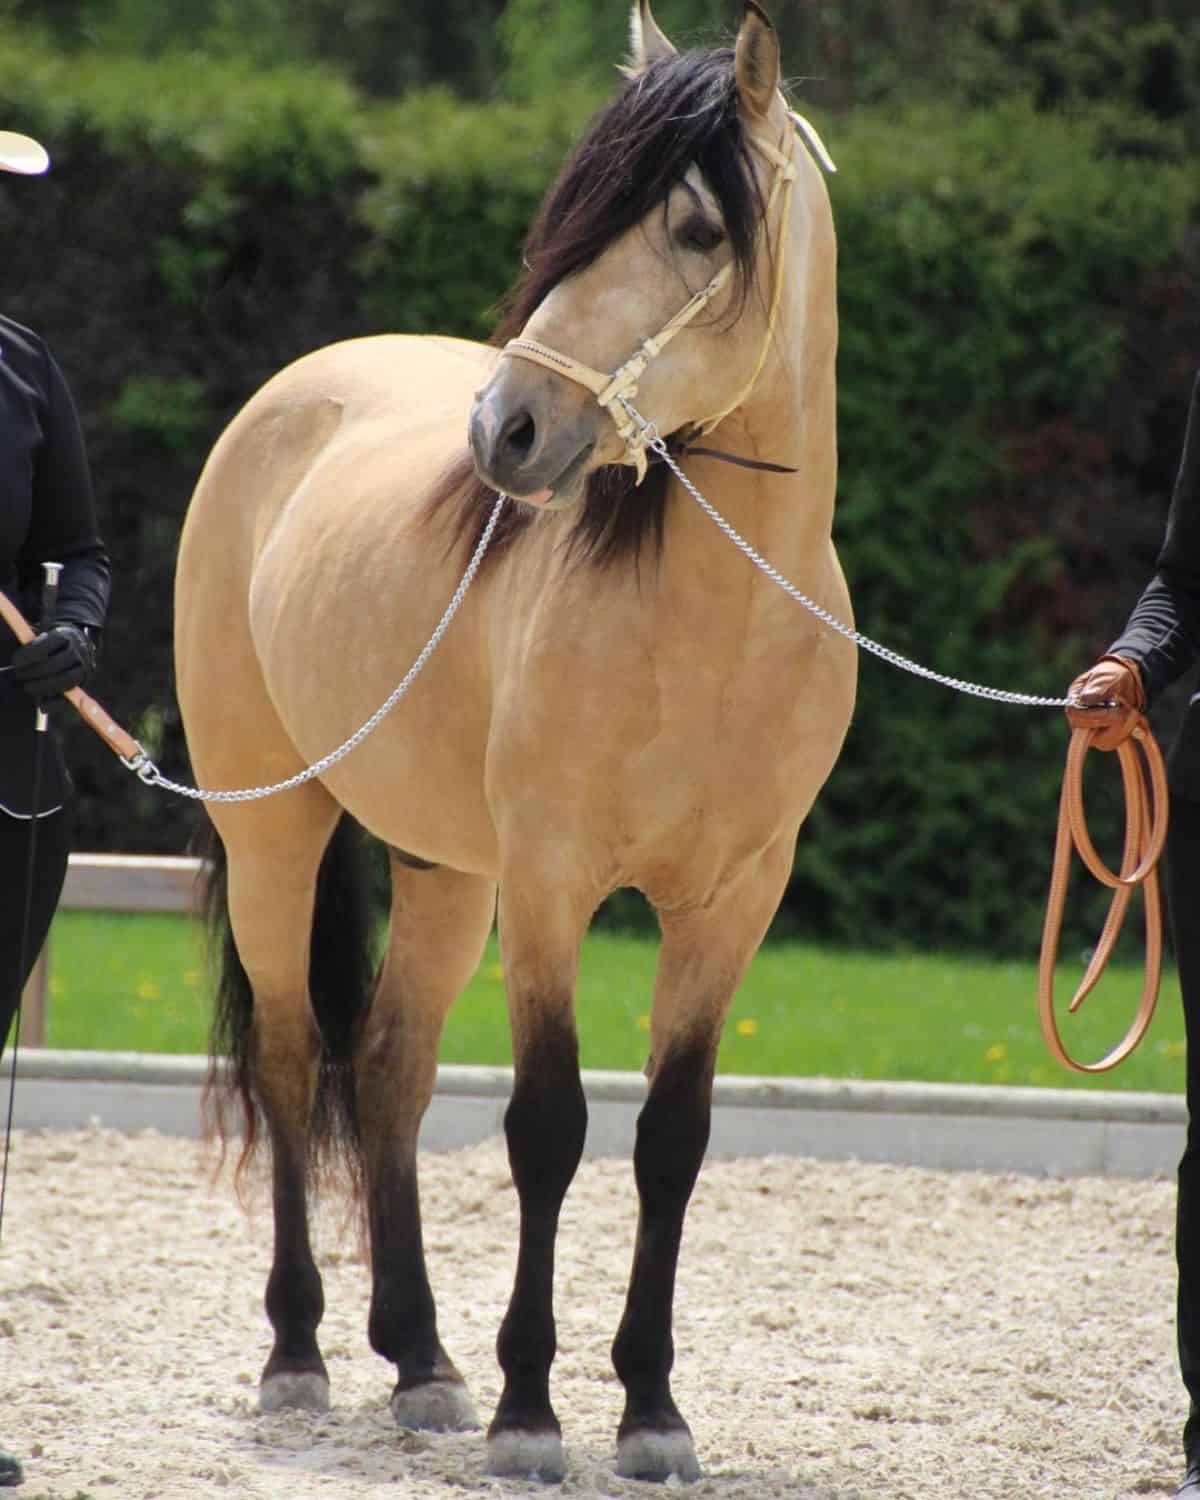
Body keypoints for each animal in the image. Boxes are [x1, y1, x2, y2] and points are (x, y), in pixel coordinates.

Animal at [173, 0, 858, 1476]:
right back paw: (302, 1355)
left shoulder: (732, 904)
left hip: (446, 874)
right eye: (572, 215)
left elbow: (671, 1138)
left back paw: (422, 1362)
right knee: (295, 1059)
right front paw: (531, 1413)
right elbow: (548, 1127)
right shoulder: (550, 886)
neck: (710, 626)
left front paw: (650, 1411)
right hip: (279, 836)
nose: (508, 429)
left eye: (696, 229)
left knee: (387, 1070)